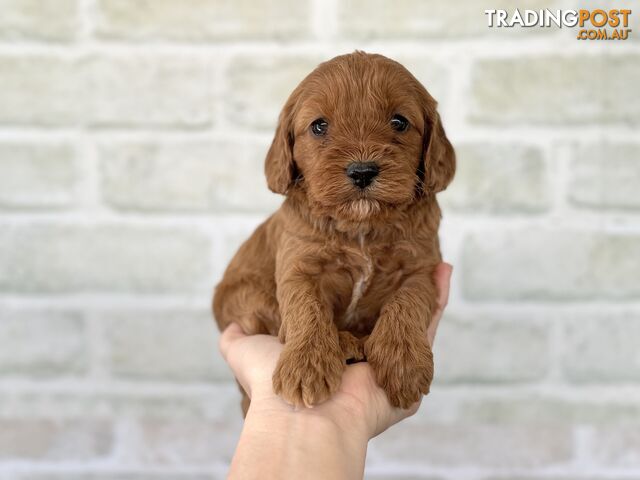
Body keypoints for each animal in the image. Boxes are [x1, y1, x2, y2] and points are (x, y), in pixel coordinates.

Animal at [215, 51, 456, 412]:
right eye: (319, 126)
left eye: (399, 122)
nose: (362, 171)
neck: (361, 227)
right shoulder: (299, 267)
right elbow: (306, 308)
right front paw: (307, 365)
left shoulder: (420, 268)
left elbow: (408, 302)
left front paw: (403, 362)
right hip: (246, 296)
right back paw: (345, 345)